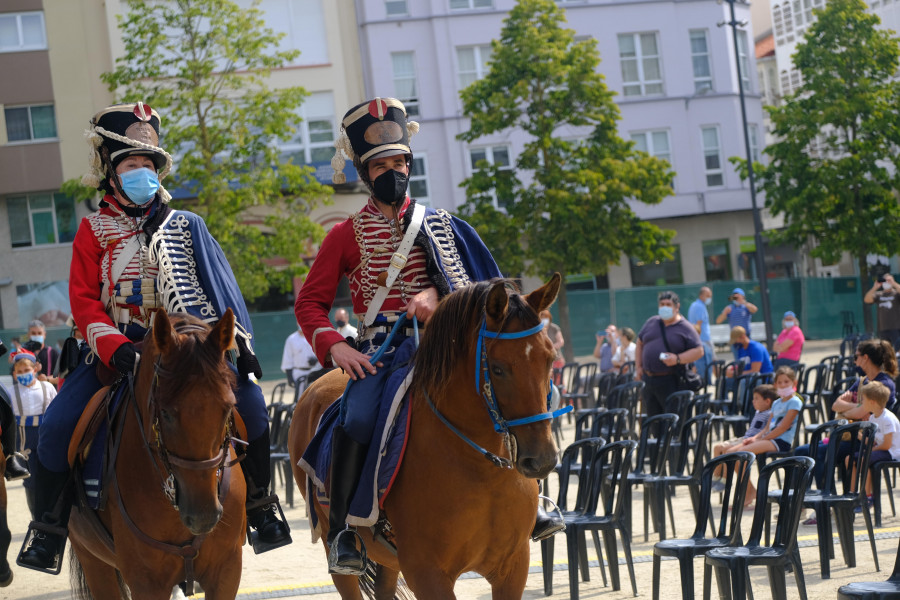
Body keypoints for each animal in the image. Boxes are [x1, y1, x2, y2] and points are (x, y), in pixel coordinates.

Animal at [66, 312, 250, 596]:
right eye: (165, 412)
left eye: (228, 407)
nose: (203, 514)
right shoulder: (147, 582)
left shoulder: (227, 571)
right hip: (92, 560)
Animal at [292, 274, 564, 596]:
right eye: (497, 369)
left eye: (550, 359)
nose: (542, 460)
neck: (482, 472)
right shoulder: (427, 574)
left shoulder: (513, 568)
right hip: (334, 550)